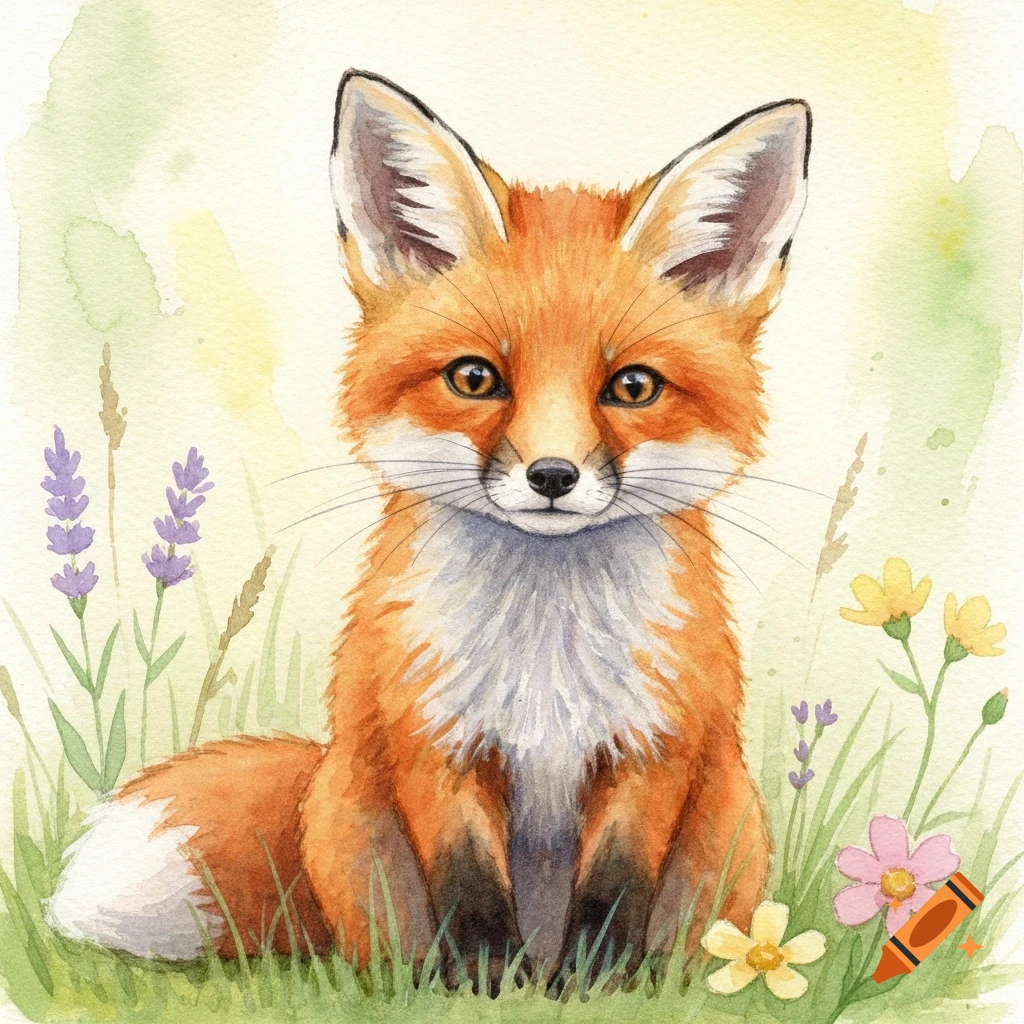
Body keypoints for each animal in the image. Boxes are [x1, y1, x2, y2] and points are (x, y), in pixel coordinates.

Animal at [47, 71, 812, 989]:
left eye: (632, 387)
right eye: (475, 378)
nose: (551, 476)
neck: (543, 650)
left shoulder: (651, 747)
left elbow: (615, 888)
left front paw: (591, 988)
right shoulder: (432, 739)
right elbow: (469, 886)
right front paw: (487, 989)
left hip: (730, 831)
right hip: (355, 831)